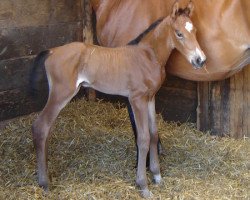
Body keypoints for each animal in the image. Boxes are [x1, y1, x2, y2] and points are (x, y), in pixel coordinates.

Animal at [30, 0, 205, 198]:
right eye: (179, 33)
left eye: (195, 31)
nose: (200, 60)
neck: (147, 56)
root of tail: (52, 51)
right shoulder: (137, 99)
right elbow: (143, 138)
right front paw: (143, 186)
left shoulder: (150, 97)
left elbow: (153, 134)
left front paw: (157, 176)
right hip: (61, 93)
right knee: (41, 127)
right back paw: (44, 183)